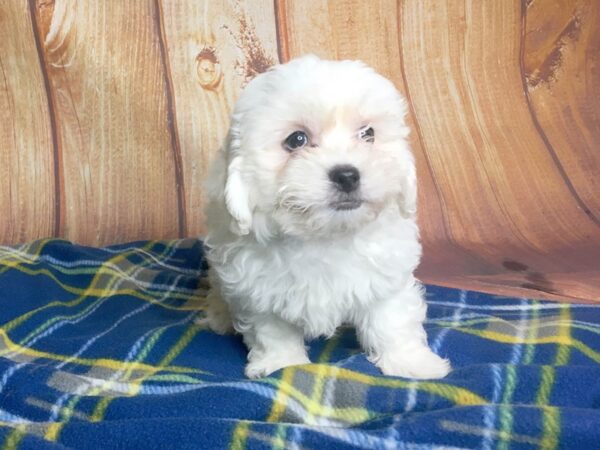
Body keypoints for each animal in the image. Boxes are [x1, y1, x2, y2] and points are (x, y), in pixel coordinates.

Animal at [202, 55, 450, 380]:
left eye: (368, 134)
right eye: (296, 139)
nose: (347, 175)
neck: (324, 236)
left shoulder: (386, 274)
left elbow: (391, 320)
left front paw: (412, 363)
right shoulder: (257, 290)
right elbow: (272, 332)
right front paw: (281, 363)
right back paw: (218, 315)